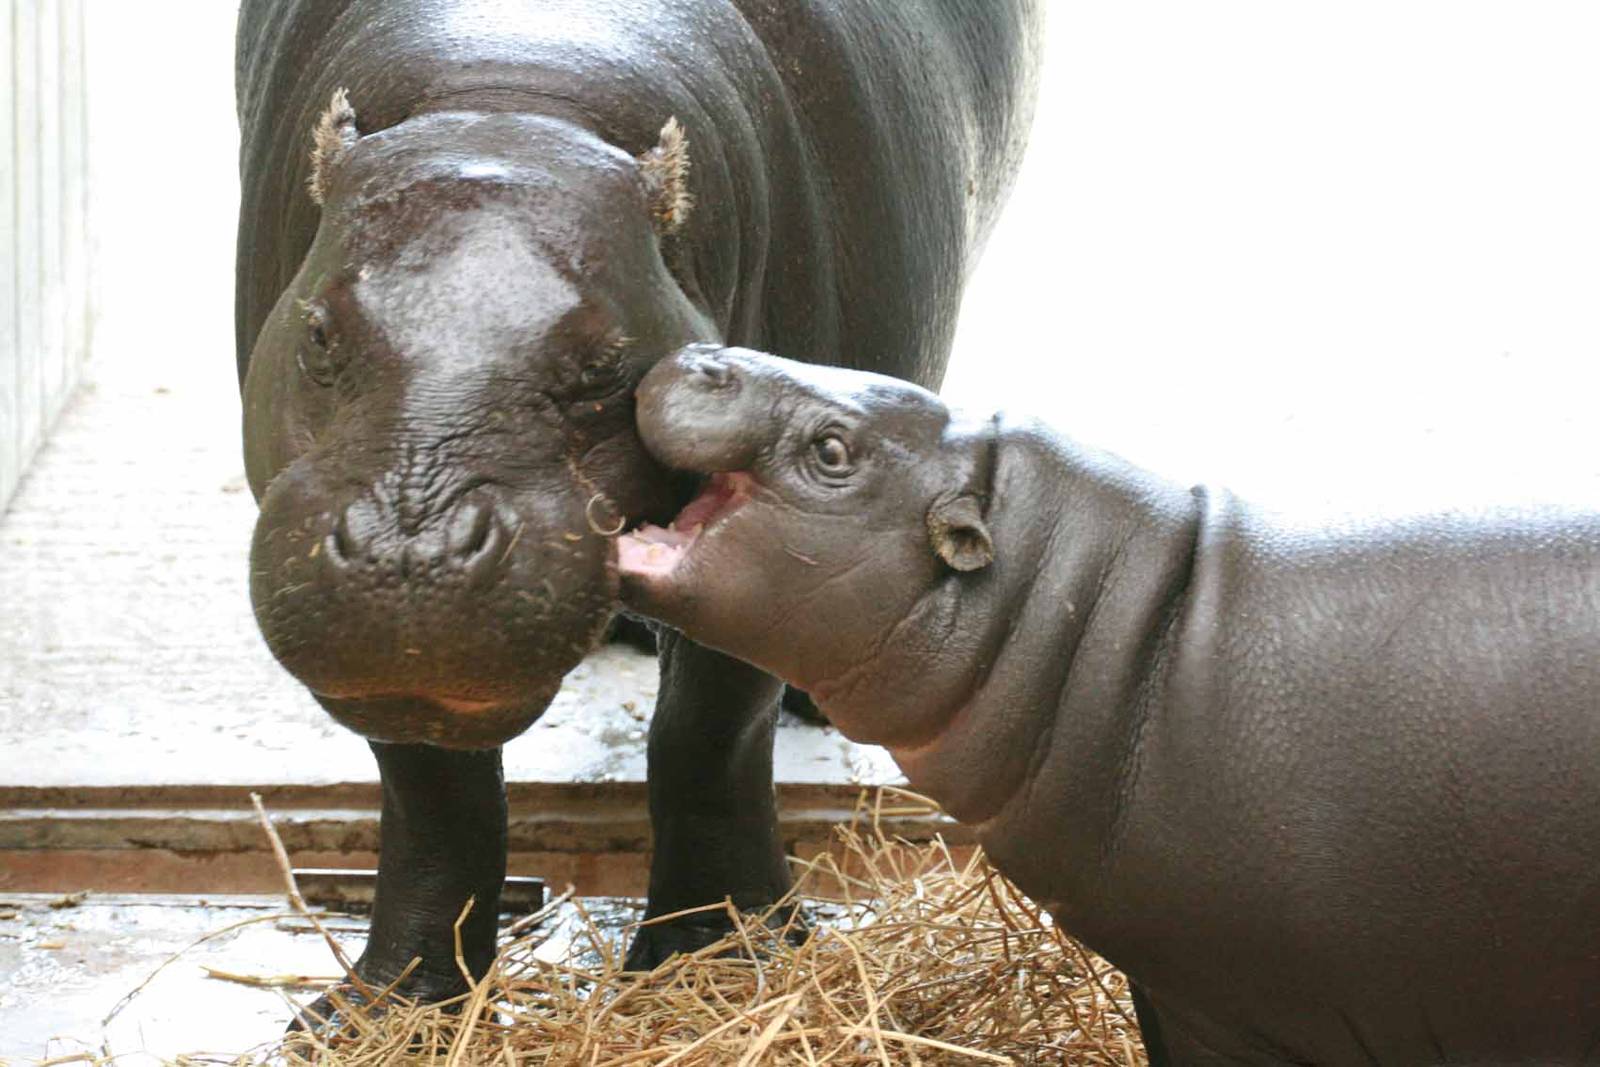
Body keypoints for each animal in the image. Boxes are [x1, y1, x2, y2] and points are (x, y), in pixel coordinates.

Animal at [235, 0, 1042, 1024]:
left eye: (605, 361)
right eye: (317, 330)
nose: (408, 556)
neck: (512, 105)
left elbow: (706, 733)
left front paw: (719, 963)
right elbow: (431, 783)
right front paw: (388, 1009)